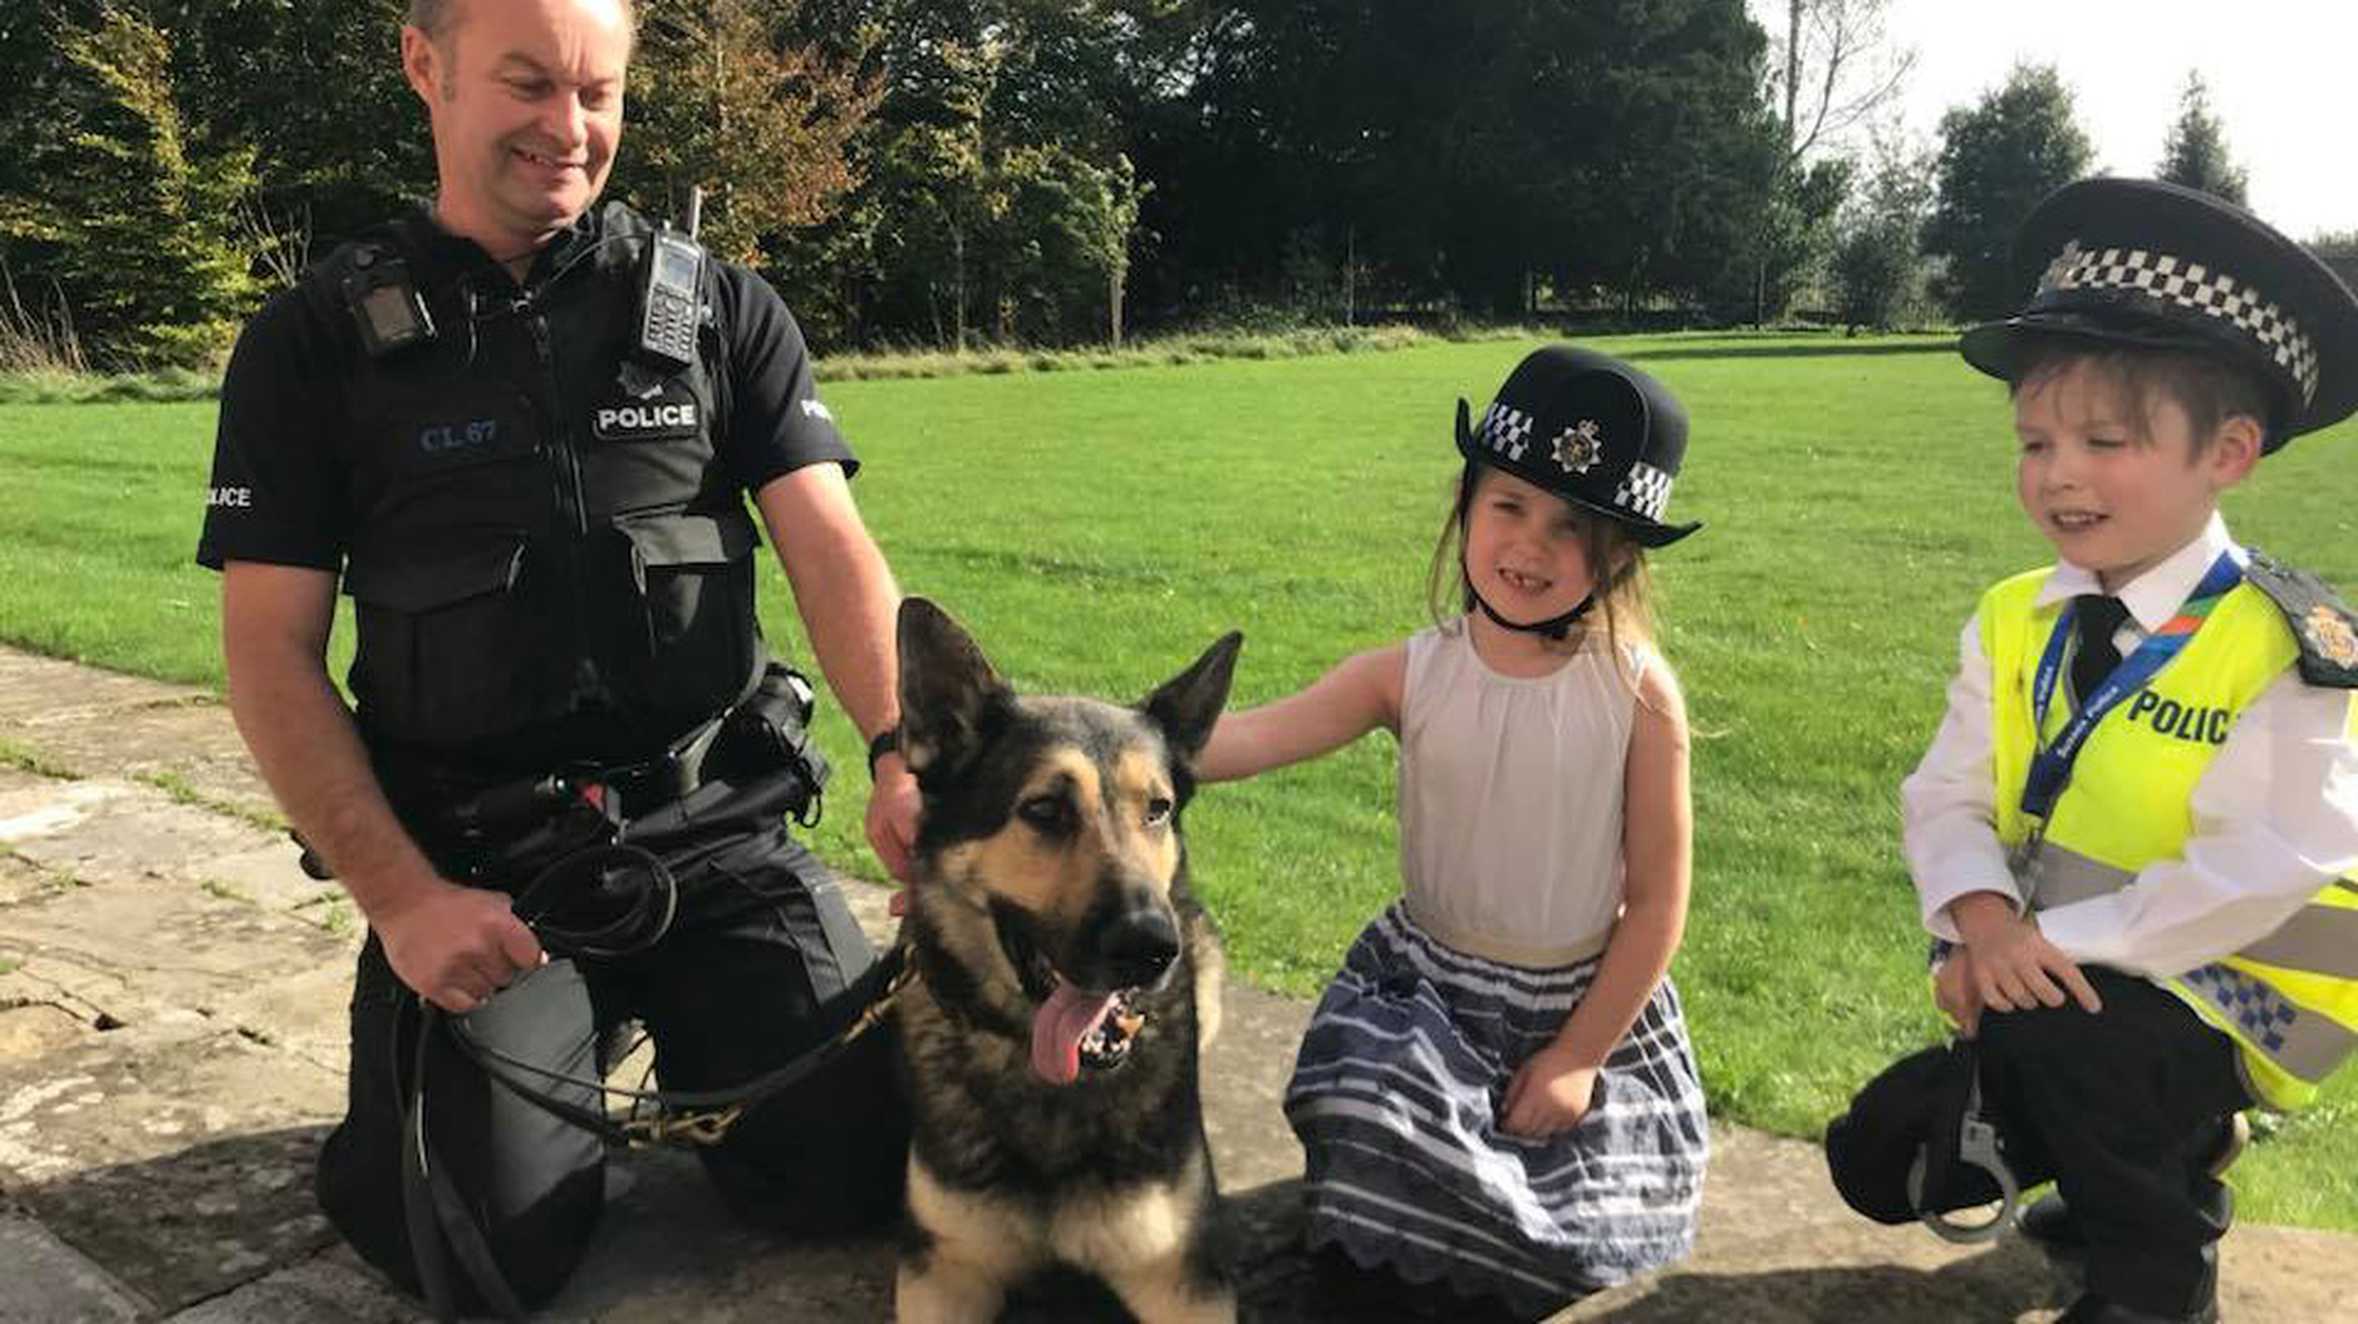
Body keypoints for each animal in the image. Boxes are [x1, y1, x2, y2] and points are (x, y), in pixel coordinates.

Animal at [886, 601, 1254, 1321]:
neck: (1050, 1080)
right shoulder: (941, 1271)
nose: (1151, 947)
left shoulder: (1184, 1281)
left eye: (1158, 810)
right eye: (1045, 809)